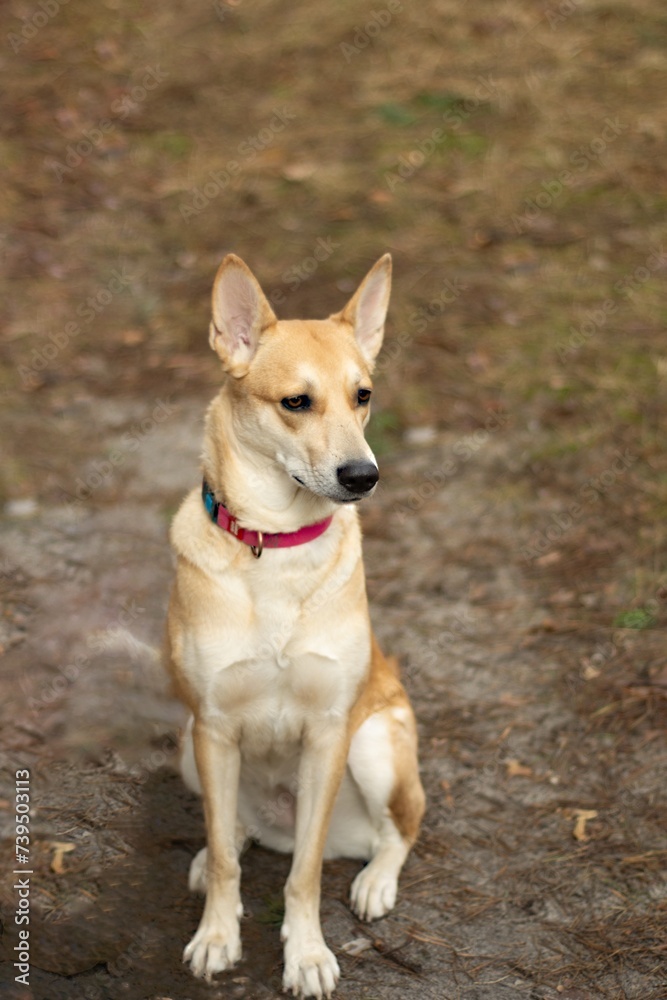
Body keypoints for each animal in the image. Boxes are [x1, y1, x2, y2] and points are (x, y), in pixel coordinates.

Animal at [167, 254, 428, 996]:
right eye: (296, 403)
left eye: (363, 394)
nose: (364, 475)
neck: (275, 545)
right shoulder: (214, 726)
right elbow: (228, 857)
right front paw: (217, 935)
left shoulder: (329, 732)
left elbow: (304, 874)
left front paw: (307, 953)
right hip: (189, 742)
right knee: (231, 832)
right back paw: (207, 858)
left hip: (374, 745)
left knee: (399, 829)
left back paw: (374, 882)